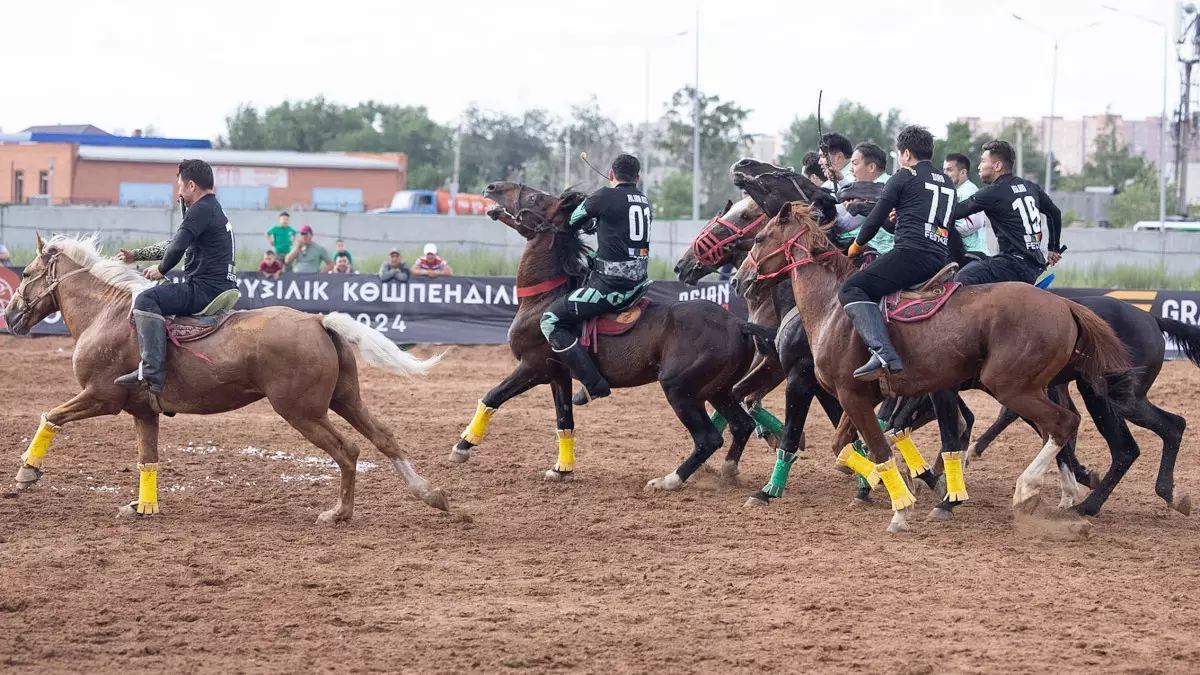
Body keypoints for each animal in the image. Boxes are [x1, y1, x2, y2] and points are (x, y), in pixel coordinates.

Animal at [2, 230, 451, 521]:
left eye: (24, 274)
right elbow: (148, 459)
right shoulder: (143, 412)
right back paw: (431, 495)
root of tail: (318, 321)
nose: (10, 315)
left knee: (348, 451)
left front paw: (27, 473)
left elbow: (51, 416)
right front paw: (144, 506)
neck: (109, 314)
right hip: (345, 400)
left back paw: (340, 512)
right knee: (383, 437)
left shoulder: (100, 398)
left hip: (303, 412)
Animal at [446, 182, 772, 487]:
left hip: (681, 389)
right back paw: (727, 471)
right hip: (718, 390)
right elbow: (564, 421)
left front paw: (462, 446)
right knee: (741, 425)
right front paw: (562, 469)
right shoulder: (558, 376)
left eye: (535, 197)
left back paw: (670, 480)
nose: (493, 187)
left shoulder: (533, 367)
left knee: (708, 439)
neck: (543, 299)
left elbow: (492, 397)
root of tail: (737, 324)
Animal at [729, 198, 1132, 530]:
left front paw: (901, 507)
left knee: (1063, 424)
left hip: (1012, 386)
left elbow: (875, 448)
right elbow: (846, 445)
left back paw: (1028, 488)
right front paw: (890, 484)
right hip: (1025, 388)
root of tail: (1065, 304)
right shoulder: (860, 397)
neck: (831, 307)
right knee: (1055, 430)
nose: (739, 279)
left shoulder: (843, 393)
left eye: (759, 237)